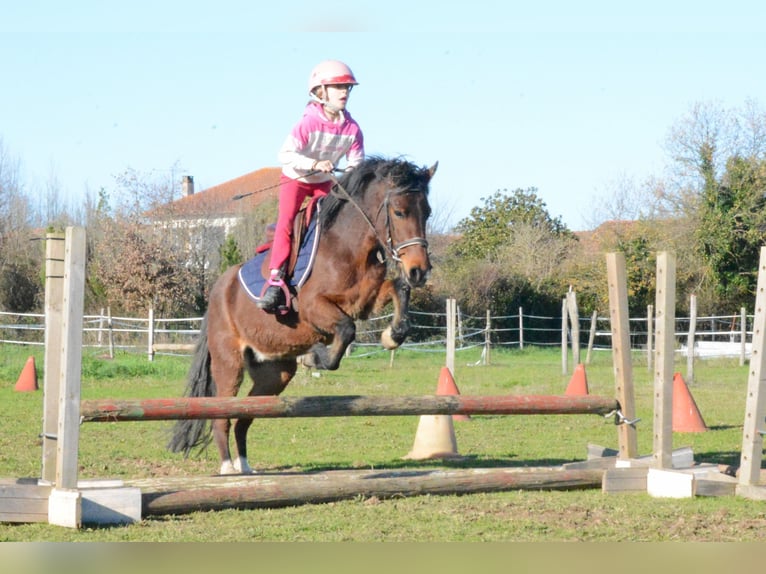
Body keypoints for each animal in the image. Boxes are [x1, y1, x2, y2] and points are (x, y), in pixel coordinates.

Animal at [168, 156, 436, 474]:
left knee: (245, 416)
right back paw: (228, 469)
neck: (348, 246)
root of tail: (218, 289)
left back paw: (245, 466)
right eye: (399, 212)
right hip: (228, 364)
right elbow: (346, 330)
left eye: (427, 212)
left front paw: (392, 336)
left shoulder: (367, 300)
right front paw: (315, 357)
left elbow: (398, 290)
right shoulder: (313, 308)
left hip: (275, 373)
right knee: (222, 415)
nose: (419, 271)